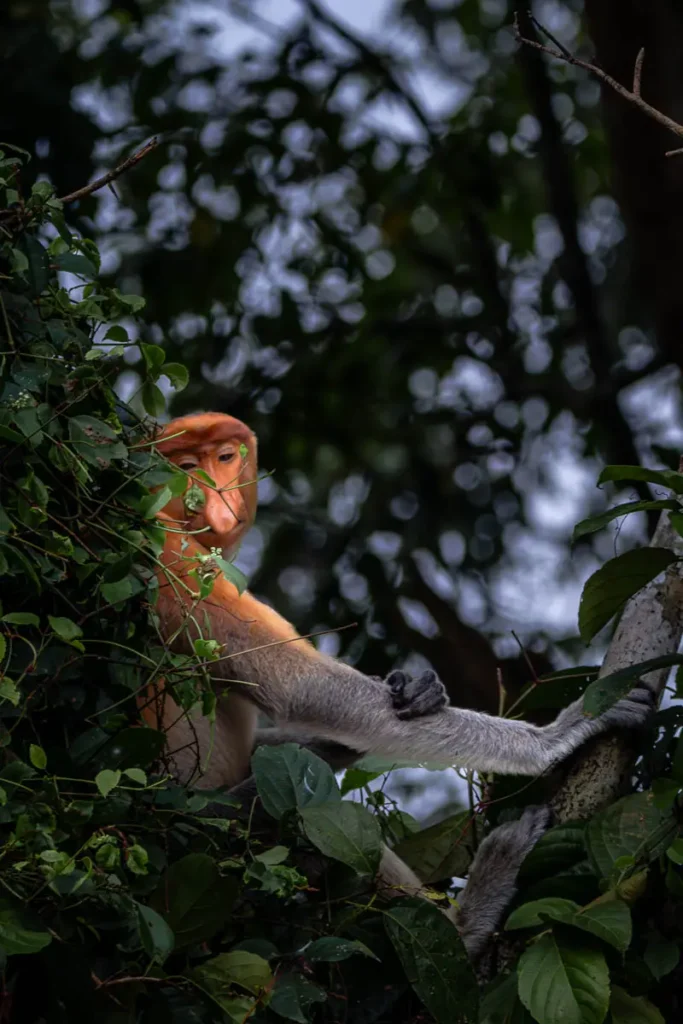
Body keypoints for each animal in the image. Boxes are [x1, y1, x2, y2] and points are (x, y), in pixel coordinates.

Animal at [145, 411, 655, 964]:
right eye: (187, 468)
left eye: (225, 458)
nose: (215, 498)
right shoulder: (173, 561)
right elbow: (305, 689)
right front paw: (559, 736)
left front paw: (414, 692)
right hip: (208, 833)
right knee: (314, 812)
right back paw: (465, 928)